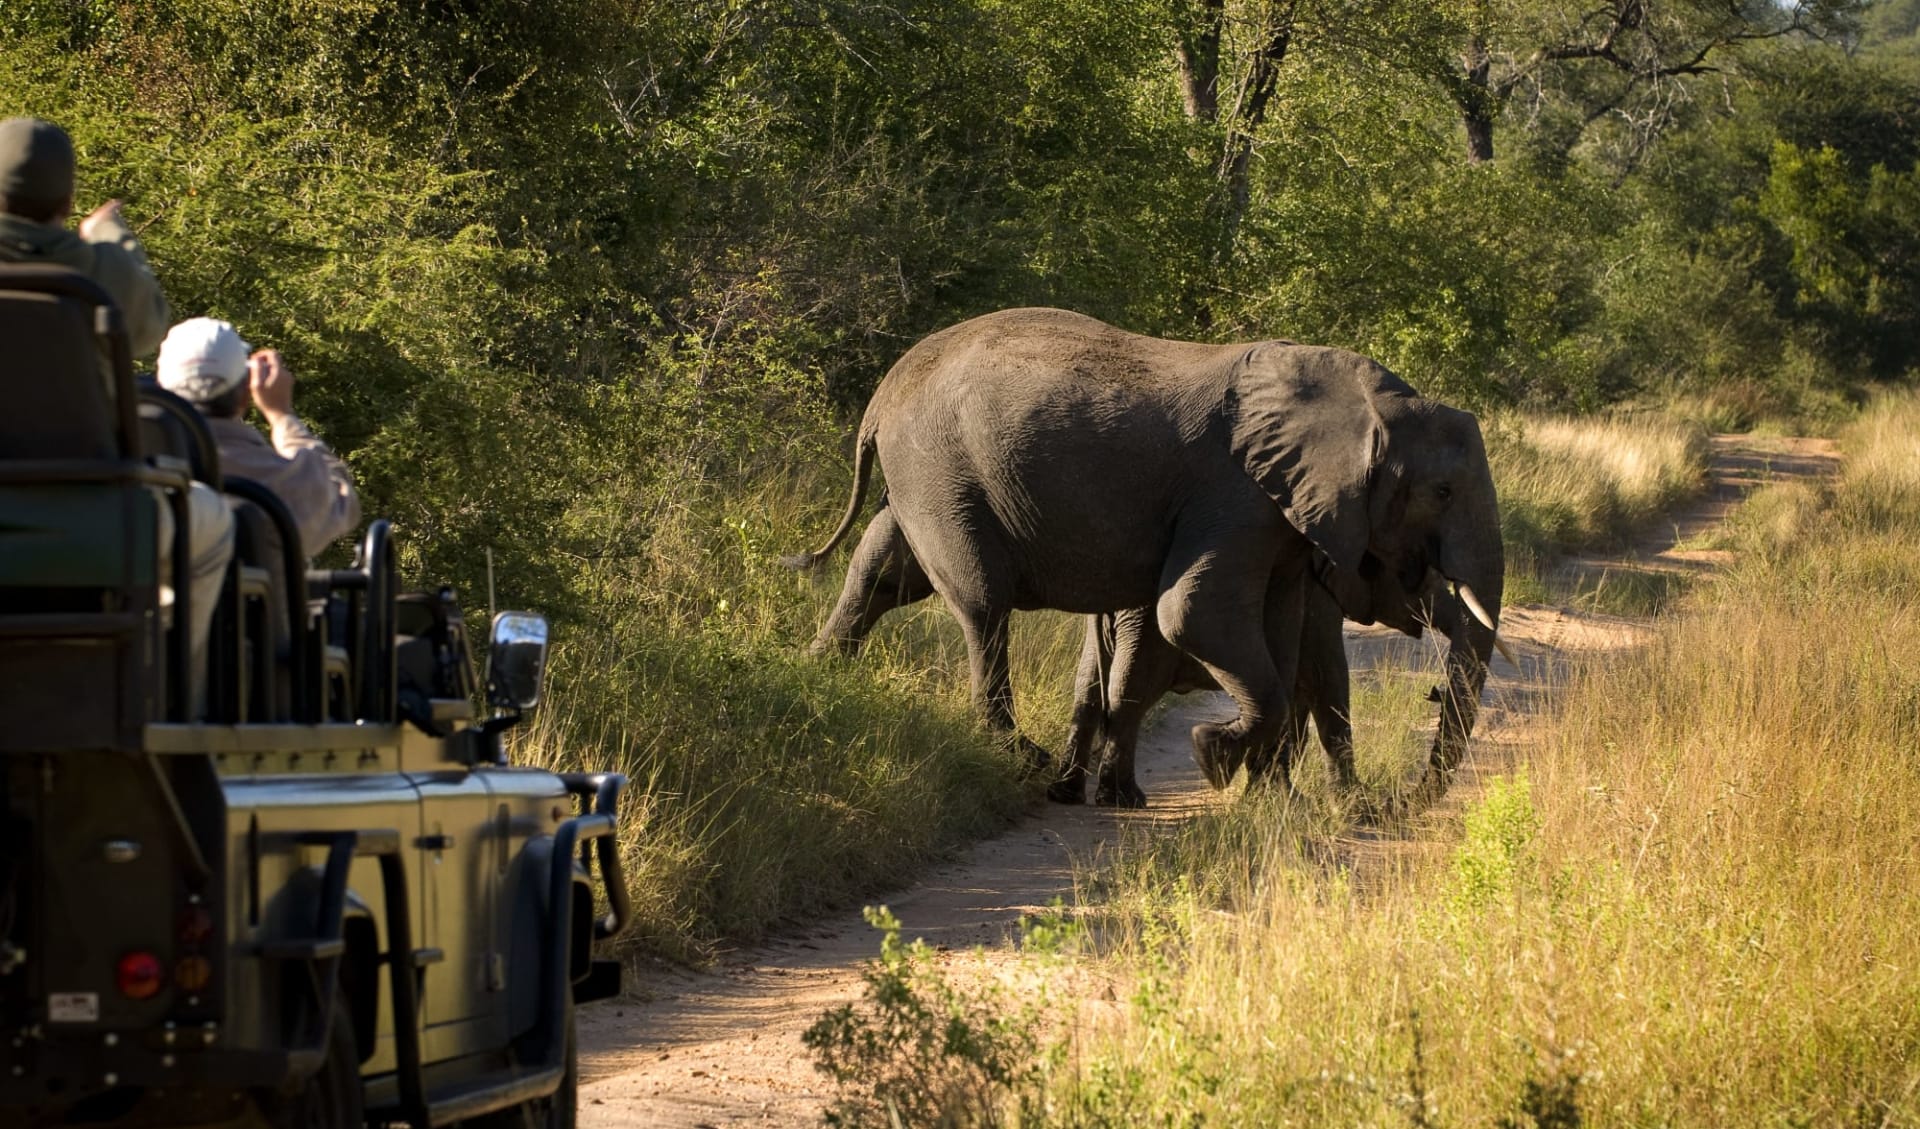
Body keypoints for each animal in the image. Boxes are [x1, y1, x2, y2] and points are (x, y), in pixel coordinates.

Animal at [787, 303, 1505, 791]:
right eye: (1442, 491)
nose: (1405, 796)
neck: (1363, 399)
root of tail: (882, 394)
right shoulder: (1237, 495)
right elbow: (1193, 614)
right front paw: (1213, 755)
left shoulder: (1282, 523)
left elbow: (1279, 632)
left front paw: (1265, 791)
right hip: (941, 470)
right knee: (982, 603)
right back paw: (1023, 757)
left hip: (920, 477)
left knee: (880, 571)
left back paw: (815, 677)